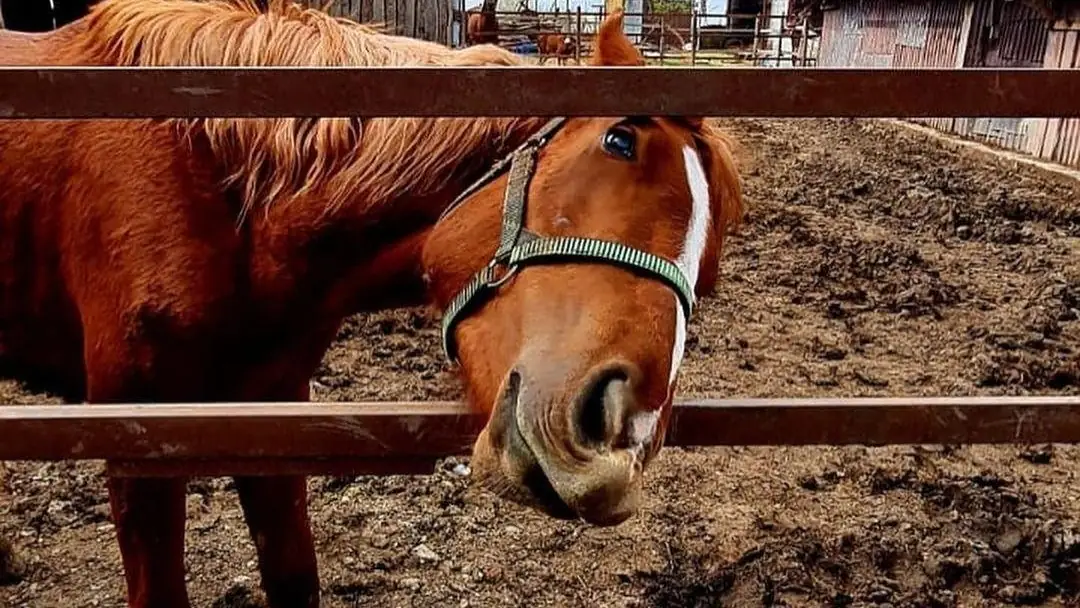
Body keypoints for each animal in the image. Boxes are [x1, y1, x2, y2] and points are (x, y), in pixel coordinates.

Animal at [0, 1, 743, 606]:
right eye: (619, 140)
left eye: (706, 270)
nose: (620, 435)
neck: (223, 182)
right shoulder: (136, 441)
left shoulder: (266, 410)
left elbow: (294, 576)